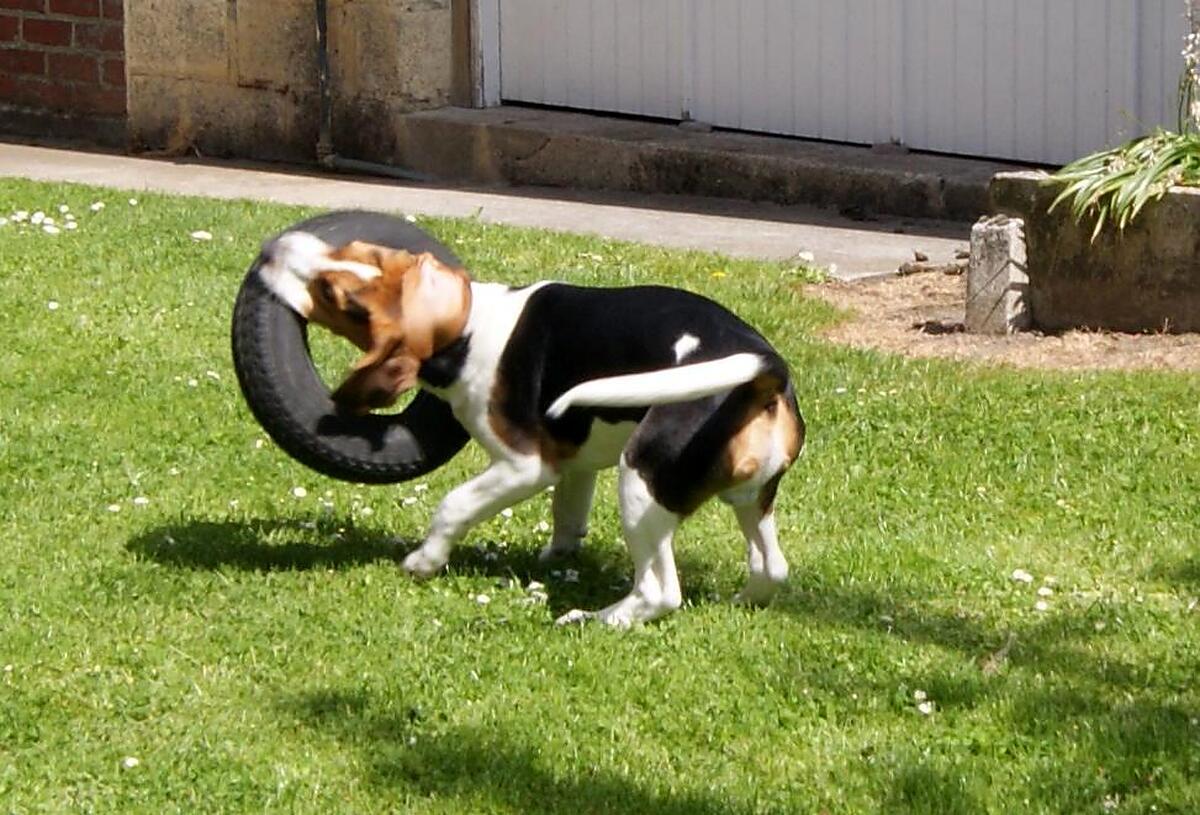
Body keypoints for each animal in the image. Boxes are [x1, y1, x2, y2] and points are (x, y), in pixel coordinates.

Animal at [262, 232, 806, 628]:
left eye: (331, 294)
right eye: (354, 249)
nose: (272, 248)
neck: (469, 329)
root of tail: (766, 372)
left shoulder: (525, 466)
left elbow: (453, 504)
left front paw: (424, 561)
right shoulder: (575, 462)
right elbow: (567, 515)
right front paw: (556, 556)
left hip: (640, 481)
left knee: (659, 591)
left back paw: (595, 619)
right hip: (749, 498)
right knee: (771, 567)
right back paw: (739, 601)